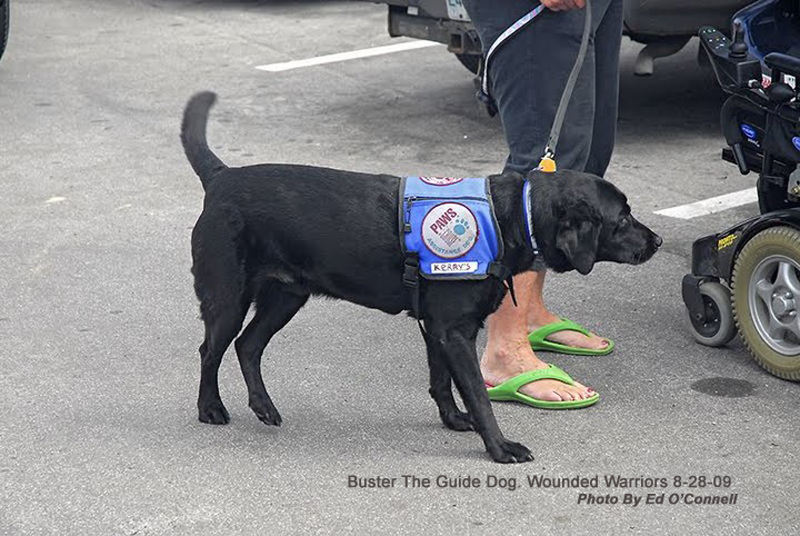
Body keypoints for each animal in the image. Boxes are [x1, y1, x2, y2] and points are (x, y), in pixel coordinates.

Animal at [183, 91, 664, 460]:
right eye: (622, 219)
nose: (658, 241)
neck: (511, 216)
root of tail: (222, 177)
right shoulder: (454, 331)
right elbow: (479, 395)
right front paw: (499, 447)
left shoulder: (437, 329)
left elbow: (441, 383)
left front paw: (453, 421)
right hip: (227, 297)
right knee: (212, 349)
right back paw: (210, 408)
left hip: (286, 296)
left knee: (247, 345)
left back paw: (263, 407)